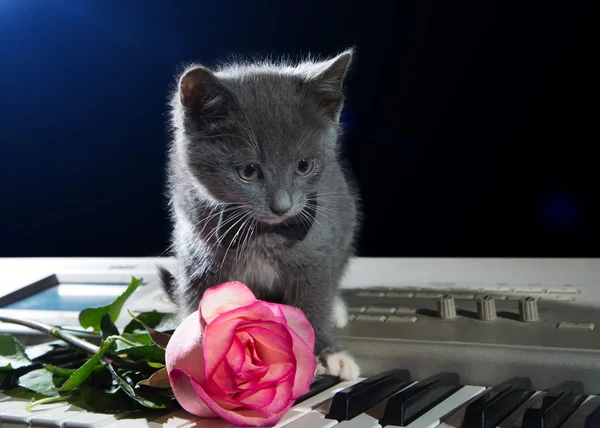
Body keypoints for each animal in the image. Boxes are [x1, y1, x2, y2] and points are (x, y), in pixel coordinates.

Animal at [158, 51, 360, 382]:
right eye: (248, 171)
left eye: (304, 166)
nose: (282, 207)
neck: (262, 234)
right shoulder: (196, 254)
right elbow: (194, 306)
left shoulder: (314, 249)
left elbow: (313, 302)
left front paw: (328, 355)